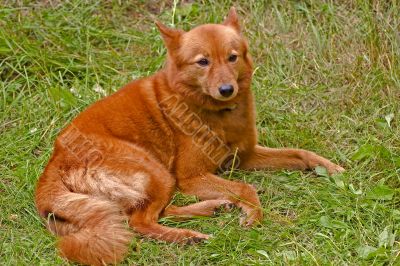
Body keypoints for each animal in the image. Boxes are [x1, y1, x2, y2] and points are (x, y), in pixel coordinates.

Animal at [34, 7, 344, 264]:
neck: (217, 113)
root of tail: (52, 168)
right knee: (140, 222)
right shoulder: (191, 176)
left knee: (154, 213)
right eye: (202, 62)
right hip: (158, 173)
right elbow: (247, 188)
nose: (226, 90)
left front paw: (332, 168)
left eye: (232, 57)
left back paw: (213, 208)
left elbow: (300, 153)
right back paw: (188, 236)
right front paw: (253, 214)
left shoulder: (245, 156)